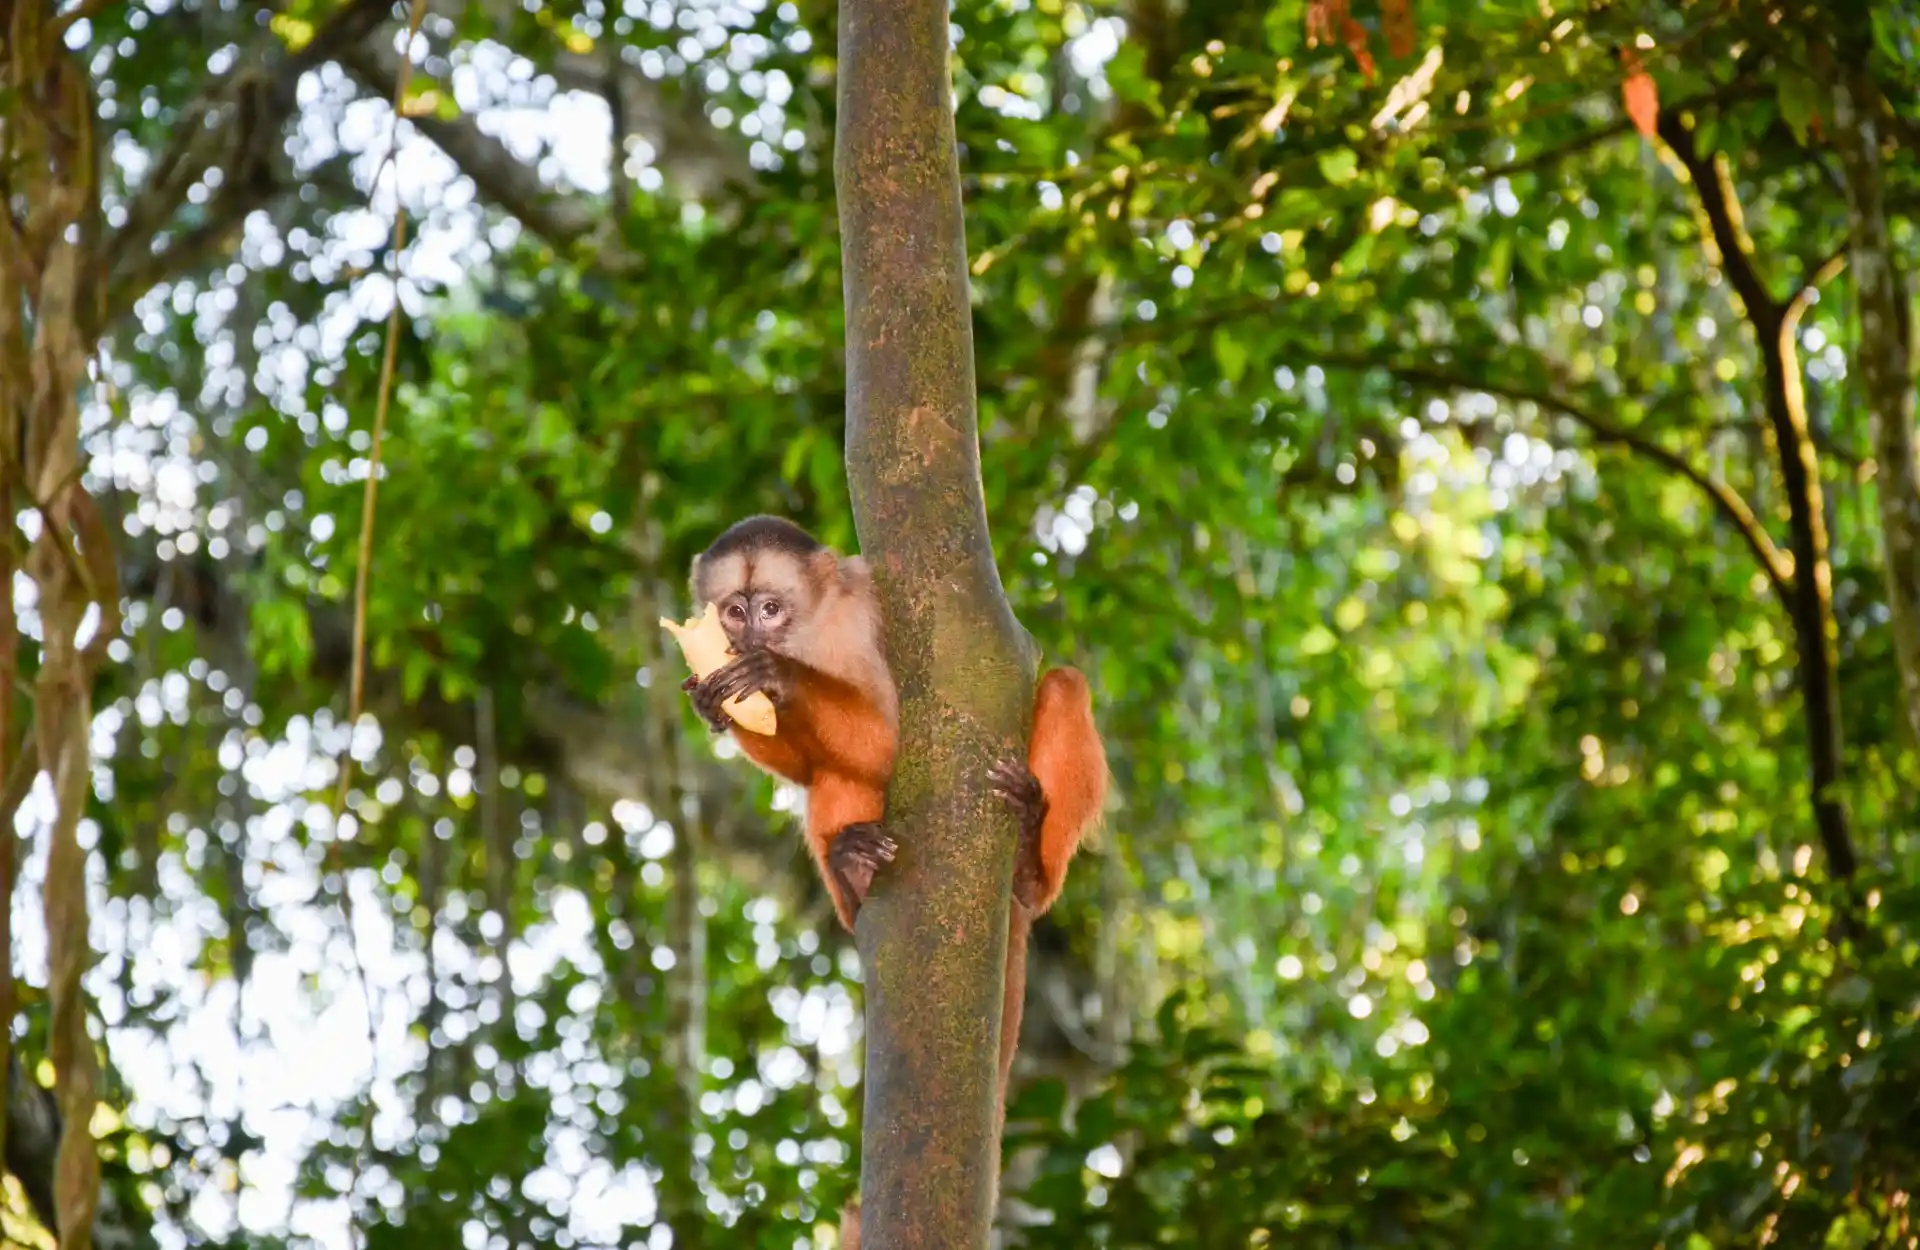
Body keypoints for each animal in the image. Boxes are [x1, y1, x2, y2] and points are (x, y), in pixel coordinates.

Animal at [680, 515, 1110, 1149]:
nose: (751, 638)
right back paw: (854, 874)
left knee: (1064, 685)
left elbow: (894, 744)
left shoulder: (859, 622)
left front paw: (780, 677)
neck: (811, 632)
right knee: (829, 777)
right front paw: (714, 702)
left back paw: (1031, 862)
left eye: (770, 609)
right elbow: (808, 770)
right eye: (735, 611)